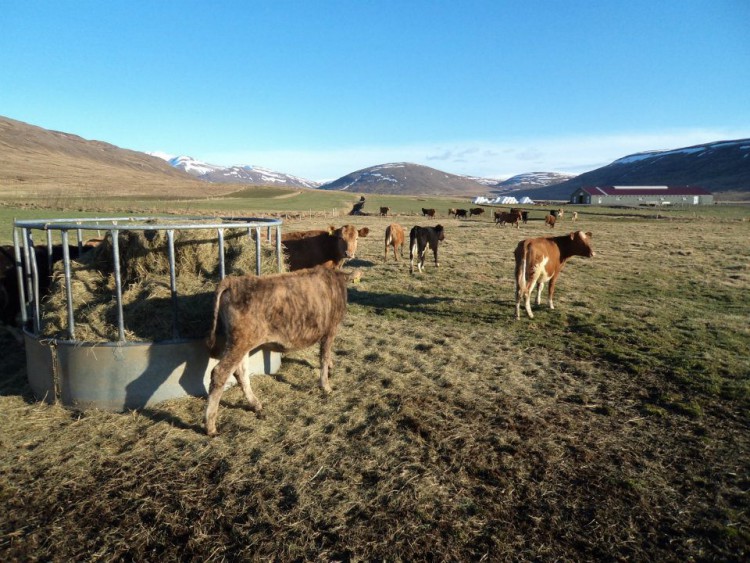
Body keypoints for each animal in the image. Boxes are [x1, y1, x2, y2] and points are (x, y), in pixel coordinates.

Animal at [205, 266, 349, 435]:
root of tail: (232, 281)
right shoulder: (331, 329)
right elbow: (324, 357)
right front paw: (326, 386)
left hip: (241, 343)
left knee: (241, 372)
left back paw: (256, 404)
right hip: (240, 342)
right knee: (220, 372)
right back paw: (210, 426)